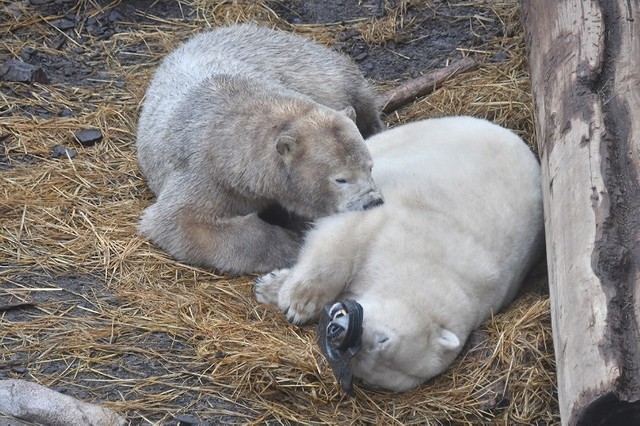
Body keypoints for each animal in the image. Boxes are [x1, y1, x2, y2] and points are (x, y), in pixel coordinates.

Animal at [137, 25, 382, 274]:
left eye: (370, 168)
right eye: (340, 179)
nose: (372, 202)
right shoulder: (204, 173)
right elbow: (179, 220)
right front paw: (292, 245)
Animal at [252, 116, 544, 392]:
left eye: (363, 363)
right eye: (385, 339)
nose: (340, 331)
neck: (433, 271)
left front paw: (272, 287)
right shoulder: (411, 222)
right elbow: (342, 239)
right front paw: (294, 301)